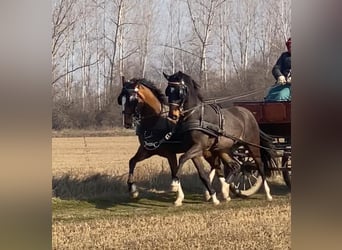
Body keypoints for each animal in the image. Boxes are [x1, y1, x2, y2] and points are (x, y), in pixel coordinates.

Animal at [116, 77, 228, 205]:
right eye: (121, 99)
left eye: (133, 99)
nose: (127, 123)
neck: (155, 122)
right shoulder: (147, 151)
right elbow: (132, 161)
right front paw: (133, 190)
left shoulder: (170, 154)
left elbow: (175, 172)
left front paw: (178, 196)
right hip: (205, 151)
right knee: (215, 166)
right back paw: (219, 192)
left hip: (206, 150)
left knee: (217, 165)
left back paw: (223, 191)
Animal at [164, 70, 274, 201]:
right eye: (167, 91)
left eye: (179, 92)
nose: (173, 115)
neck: (196, 115)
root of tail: (248, 113)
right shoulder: (193, 148)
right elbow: (199, 170)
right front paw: (212, 194)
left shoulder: (199, 146)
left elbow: (182, 158)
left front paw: (174, 184)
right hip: (224, 149)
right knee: (235, 166)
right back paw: (225, 190)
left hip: (252, 145)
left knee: (259, 165)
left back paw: (268, 194)